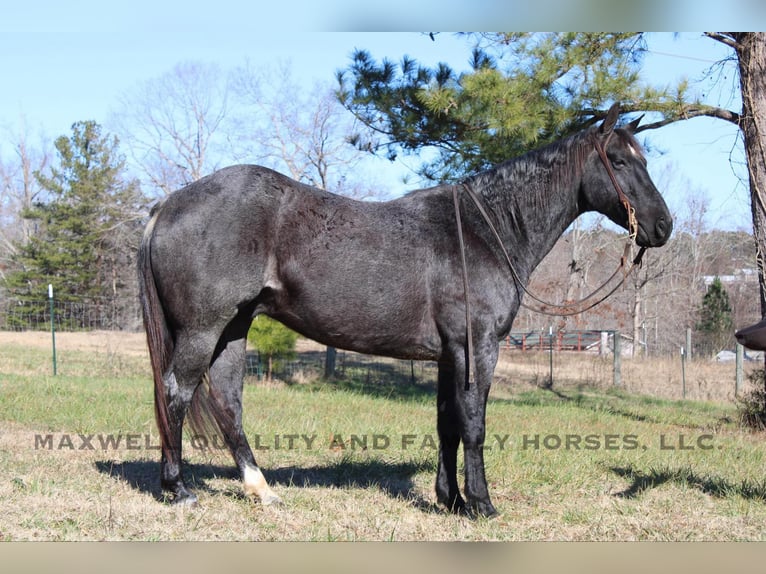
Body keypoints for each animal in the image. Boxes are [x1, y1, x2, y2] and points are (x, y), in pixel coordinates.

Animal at [138, 103, 672, 518]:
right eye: (619, 160)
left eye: (644, 159)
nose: (663, 226)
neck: (483, 230)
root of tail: (168, 205)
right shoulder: (478, 348)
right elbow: (474, 424)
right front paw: (481, 503)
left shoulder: (450, 355)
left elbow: (447, 423)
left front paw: (450, 500)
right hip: (204, 329)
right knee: (176, 392)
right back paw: (178, 490)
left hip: (234, 328)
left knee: (228, 404)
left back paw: (261, 490)